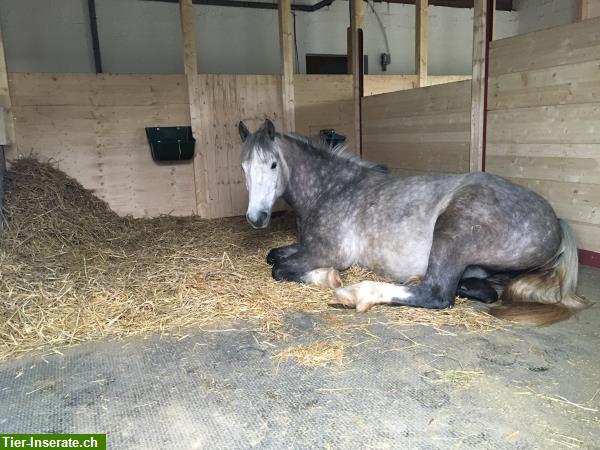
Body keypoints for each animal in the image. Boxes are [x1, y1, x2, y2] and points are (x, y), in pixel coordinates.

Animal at [238, 118, 584, 326]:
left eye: (272, 164)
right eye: (243, 166)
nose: (256, 218)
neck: (333, 189)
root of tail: (556, 222)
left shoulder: (329, 253)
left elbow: (279, 269)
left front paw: (330, 278)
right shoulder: (305, 246)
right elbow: (273, 255)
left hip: (453, 233)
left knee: (436, 293)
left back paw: (358, 294)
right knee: (483, 290)